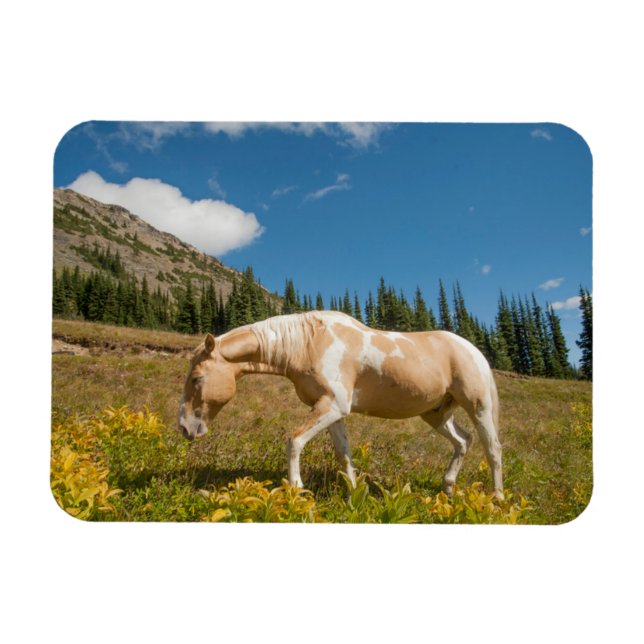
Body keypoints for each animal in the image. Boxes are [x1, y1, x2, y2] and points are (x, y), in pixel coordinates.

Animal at [178, 310, 504, 498]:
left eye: (196, 378)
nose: (184, 427)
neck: (310, 342)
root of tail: (473, 350)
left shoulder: (333, 406)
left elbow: (294, 441)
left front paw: (296, 489)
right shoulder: (332, 411)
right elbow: (343, 454)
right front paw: (354, 496)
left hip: (479, 407)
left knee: (493, 449)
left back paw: (497, 499)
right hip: (436, 414)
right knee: (463, 441)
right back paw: (447, 488)